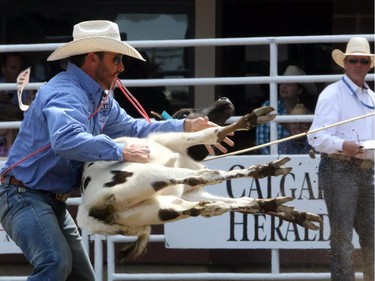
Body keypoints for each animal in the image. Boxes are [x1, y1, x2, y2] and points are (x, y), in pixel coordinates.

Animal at [77, 105, 324, 260]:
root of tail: (87, 209)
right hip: (151, 175)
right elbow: (212, 134)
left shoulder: (191, 192)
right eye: (186, 112)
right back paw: (266, 176)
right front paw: (252, 118)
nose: (224, 101)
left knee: (212, 205)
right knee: (207, 176)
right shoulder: (173, 140)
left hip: (159, 209)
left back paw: (275, 201)